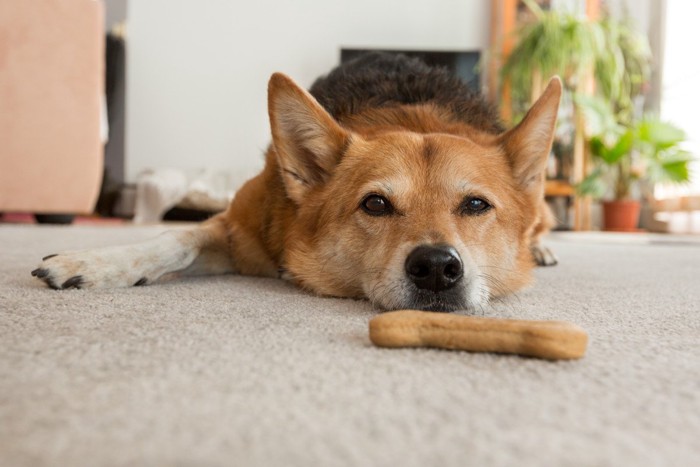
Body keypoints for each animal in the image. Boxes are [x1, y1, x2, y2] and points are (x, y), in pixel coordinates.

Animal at [32, 53, 560, 312]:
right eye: (375, 204)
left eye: (476, 205)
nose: (436, 267)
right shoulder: (238, 225)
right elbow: (172, 240)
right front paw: (95, 262)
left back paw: (542, 248)